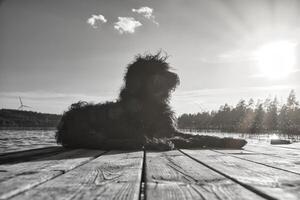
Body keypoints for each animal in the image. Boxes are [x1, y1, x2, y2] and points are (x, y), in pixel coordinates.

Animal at [55, 53, 246, 150]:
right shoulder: (155, 130)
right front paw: (183, 141)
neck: (150, 101)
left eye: (164, 67)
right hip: (93, 131)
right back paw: (155, 143)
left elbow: (199, 135)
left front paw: (229, 140)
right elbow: (186, 138)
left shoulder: (169, 129)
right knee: (111, 141)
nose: (175, 77)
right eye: (154, 70)